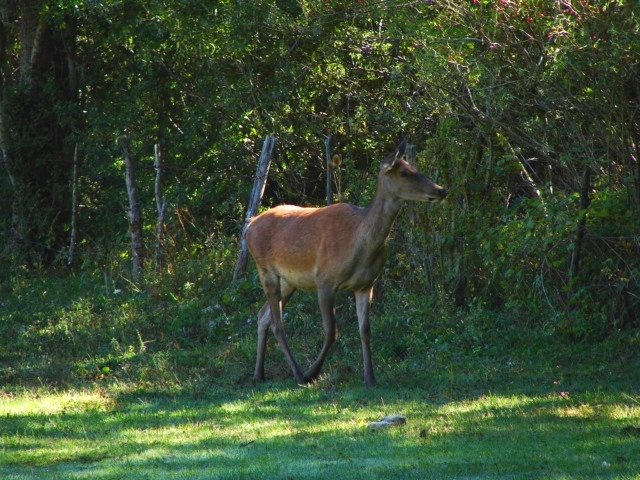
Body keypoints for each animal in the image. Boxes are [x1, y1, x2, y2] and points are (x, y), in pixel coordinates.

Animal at [242, 136, 448, 386]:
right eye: (404, 173)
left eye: (415, 168)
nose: (441, 190)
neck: (357, 246)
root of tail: (250, 225)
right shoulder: (325, 279)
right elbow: (332, 331)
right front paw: (313, 372)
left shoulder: (366, 284)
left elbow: (365, 330)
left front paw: (370, 378)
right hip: (264, 267)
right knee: (277, 324)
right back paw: (298, 374)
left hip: (289, 281)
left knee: (263, 316)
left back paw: (258, 374)